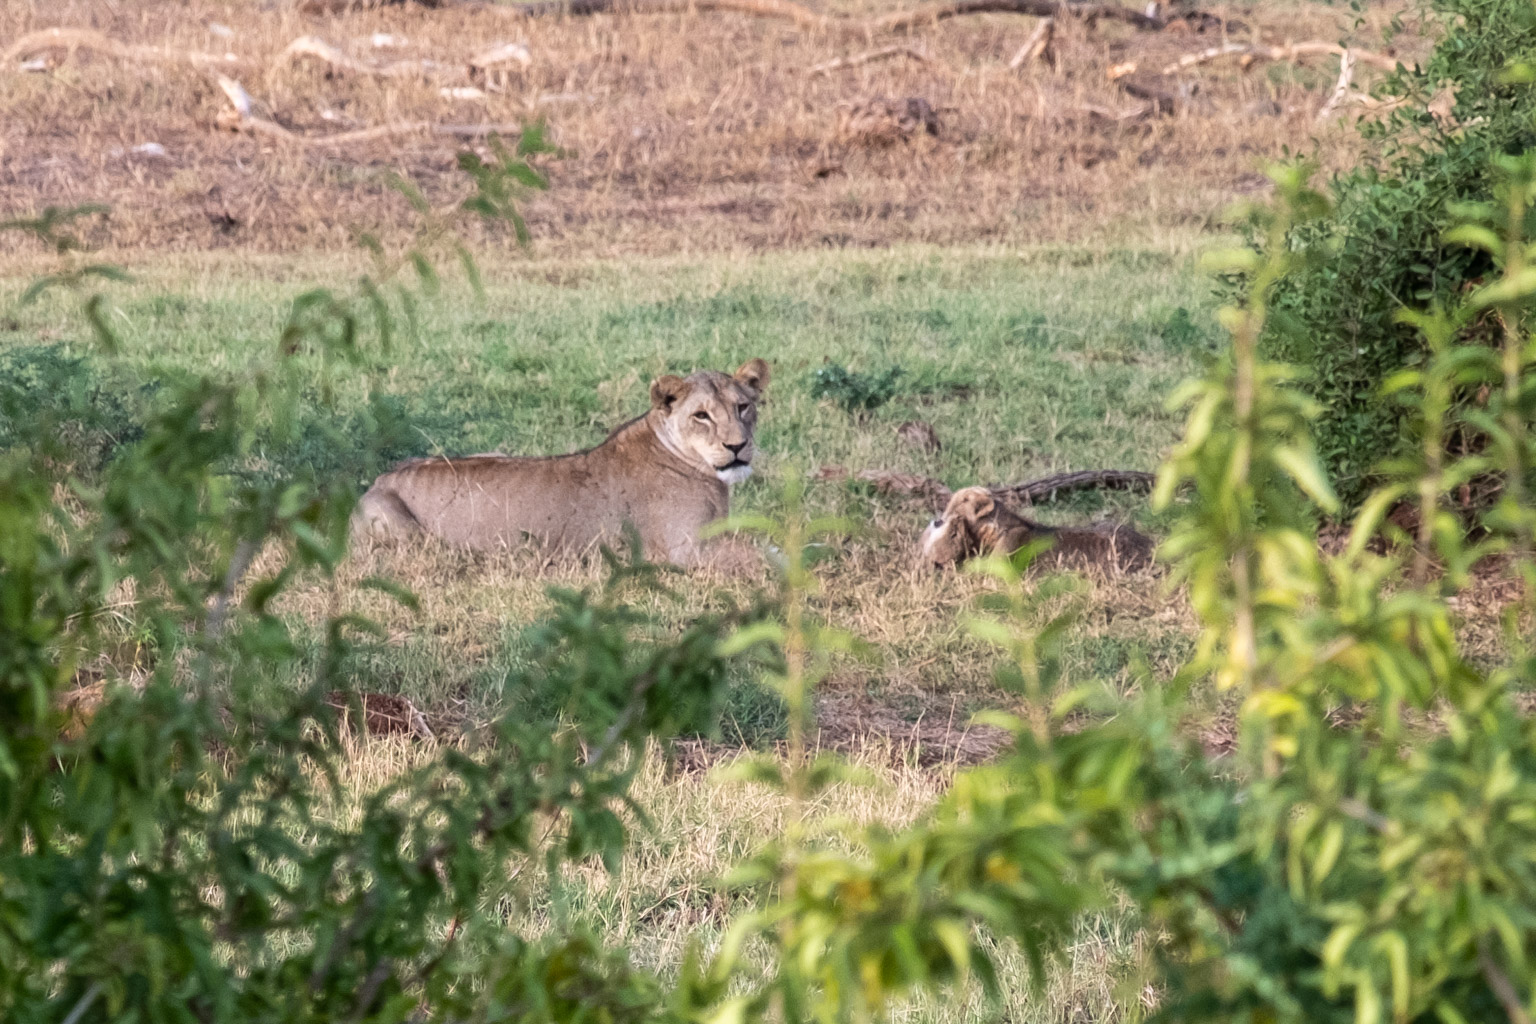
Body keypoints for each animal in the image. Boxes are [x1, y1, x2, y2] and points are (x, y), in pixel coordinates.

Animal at [351, 359, 770, 568]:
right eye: (702, 416)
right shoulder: (686, 551)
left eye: (742, 407)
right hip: (409, 535)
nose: (737, 446)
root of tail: (381, 478)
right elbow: (762, 554)